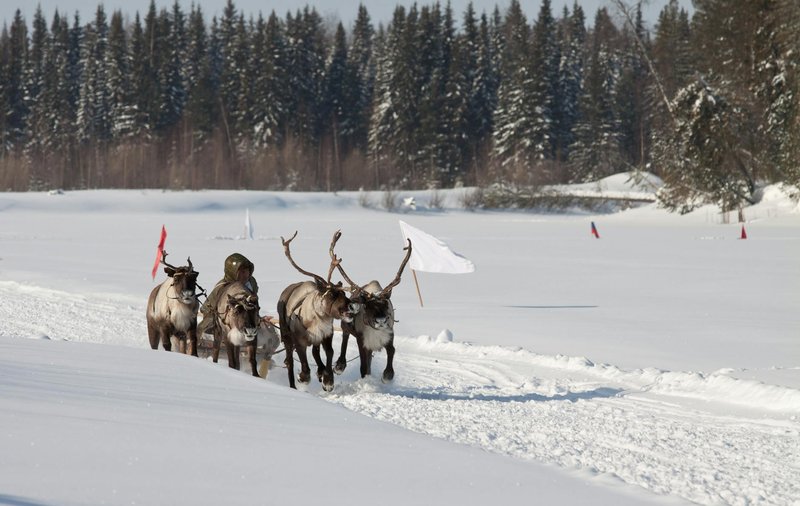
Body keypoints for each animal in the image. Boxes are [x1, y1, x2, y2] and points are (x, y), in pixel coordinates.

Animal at [277, 230, 354, 391]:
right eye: (332, 294)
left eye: (343, 293)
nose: (351, 306)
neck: (319, 318)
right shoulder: (299, 341)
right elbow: (304, 366)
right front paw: (303, 378)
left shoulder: (326, 336)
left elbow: (329, 353)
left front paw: (328, 380)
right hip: (286, 334)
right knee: (290, 361)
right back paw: (293, 385)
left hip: (314, 340)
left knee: (314, 352)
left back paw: (320, 372)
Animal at [333, 238, 412, 383]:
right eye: (368, 306)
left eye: (386, 304)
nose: (380, 320)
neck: (375, 331)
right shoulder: (362, 340)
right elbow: (363, 366)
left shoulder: (388, 335)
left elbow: (392, 350)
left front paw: (387, 375)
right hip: (346, 324)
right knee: (345, 337)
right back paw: (340, 366)